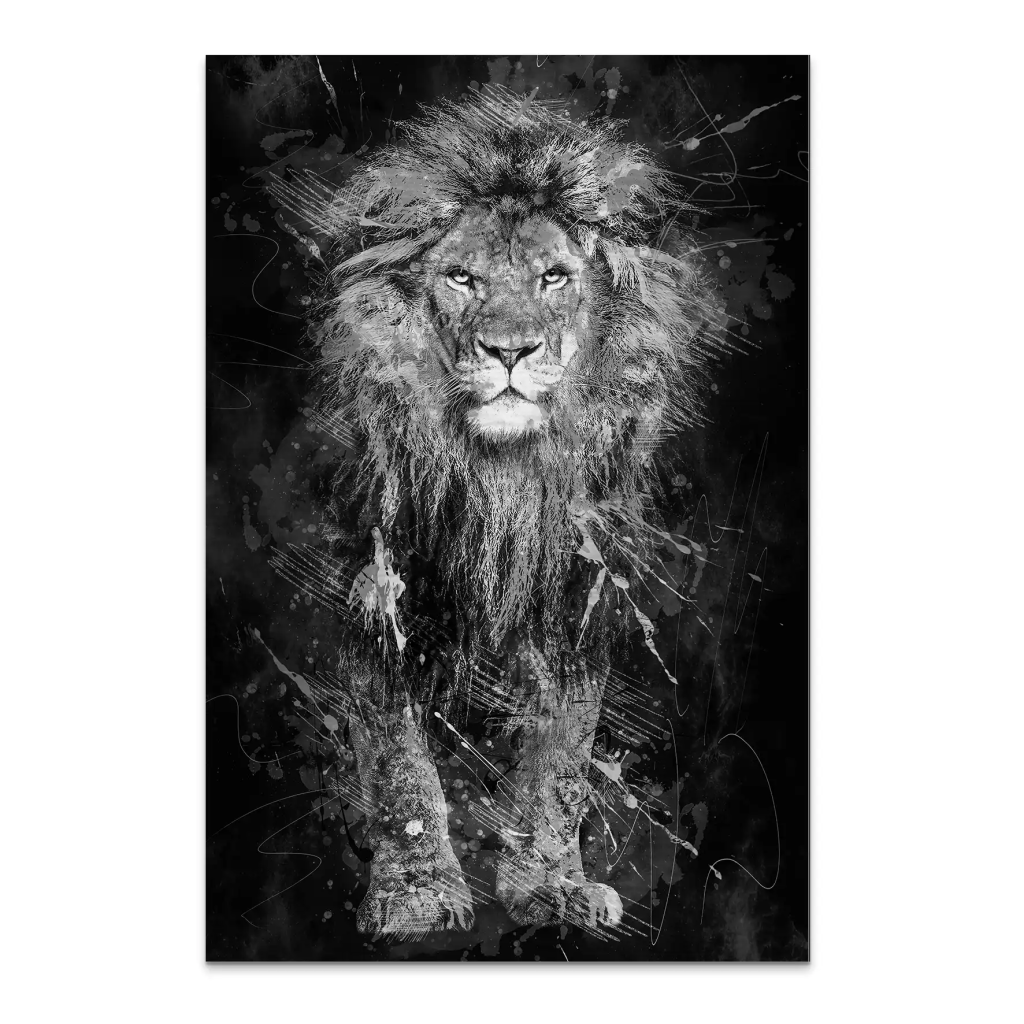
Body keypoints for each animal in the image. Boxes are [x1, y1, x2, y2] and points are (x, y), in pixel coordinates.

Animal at [268, 85, 721, 942]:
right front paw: (416, 895)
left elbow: (563, 761)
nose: (510, 350)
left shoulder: (576, 594)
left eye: (554, 277)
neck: (500, 479)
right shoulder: (379, 590)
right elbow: (401, 765)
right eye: (460, 278)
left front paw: (553, 886)